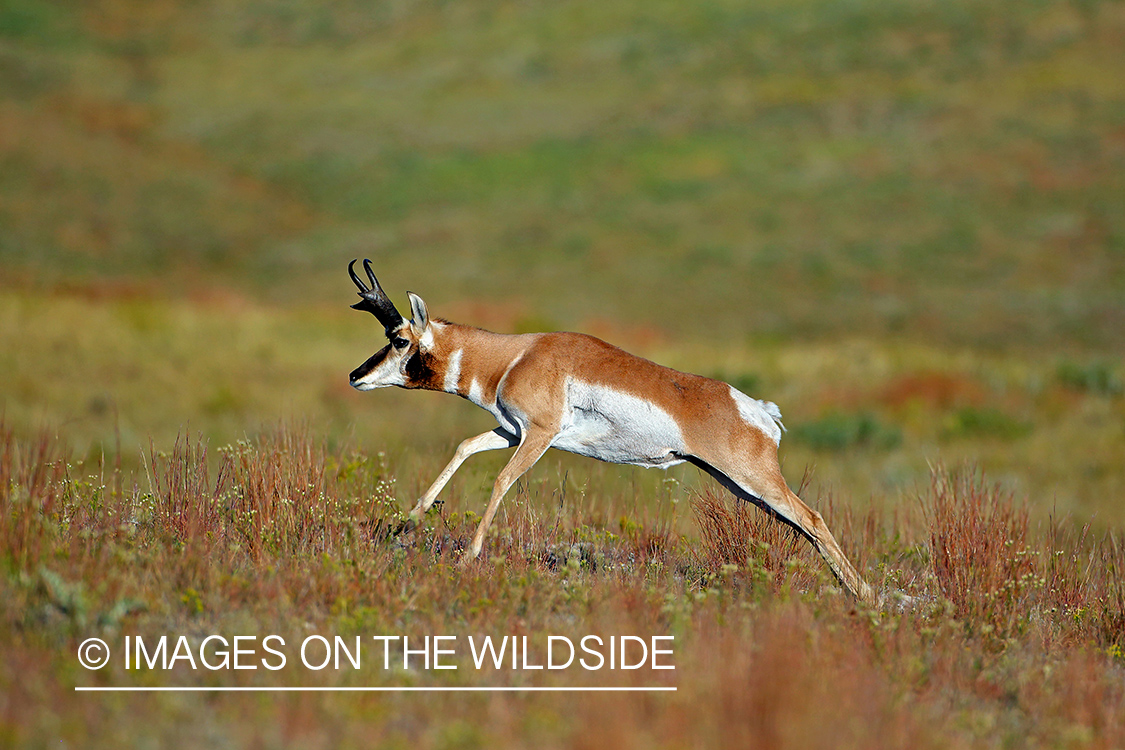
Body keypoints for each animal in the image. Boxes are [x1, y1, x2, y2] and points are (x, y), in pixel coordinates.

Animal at [346, 260, 873, 602]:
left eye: (398, 339)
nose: (355, 376)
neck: (518, 354)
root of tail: (755, 409)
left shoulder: (538, 436)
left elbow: (501, 480)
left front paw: (470, 555)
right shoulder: (512, 431)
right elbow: (463, 447)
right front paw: (408, 521)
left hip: (754, 479)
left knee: (812, 519)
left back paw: (868, 596)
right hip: (740, 486)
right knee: (800, 525)